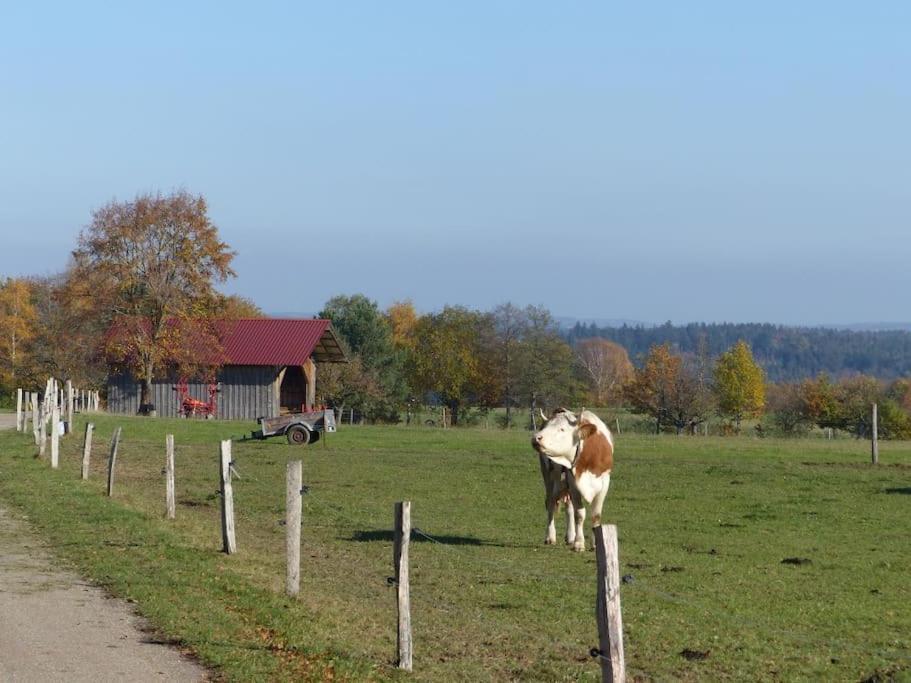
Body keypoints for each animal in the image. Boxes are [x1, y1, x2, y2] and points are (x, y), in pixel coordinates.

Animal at [532, 408, 616, 552]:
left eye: (562, 429)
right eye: (547, 426)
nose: (536, 437)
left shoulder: (604, 483)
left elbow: (596, 515)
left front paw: (596, 543)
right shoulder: (574, 483)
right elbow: (579, 514)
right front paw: (579, 543)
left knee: (568, 507)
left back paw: (570, 536)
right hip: (549, 479)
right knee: (550, 504)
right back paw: (550, 536)